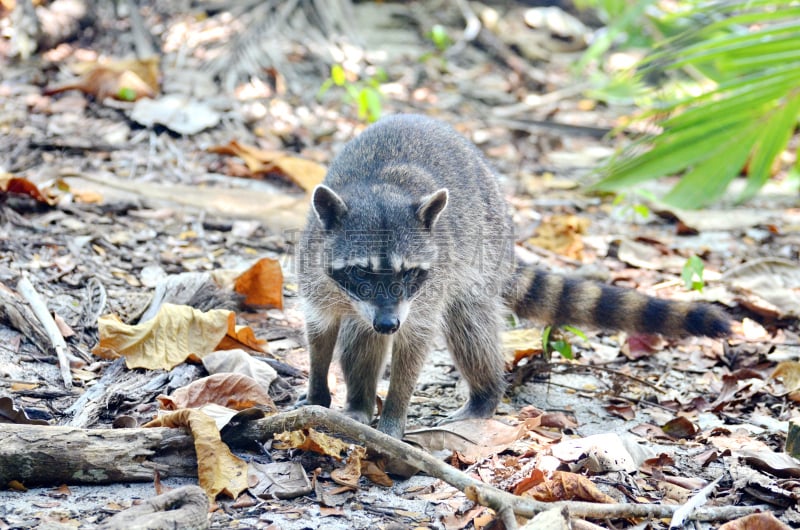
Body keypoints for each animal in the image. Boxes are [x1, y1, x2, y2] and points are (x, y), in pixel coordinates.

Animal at [296, 113, 732, 436]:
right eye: (361, 272)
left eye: (409, 274)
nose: (389, 323)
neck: (378, 190)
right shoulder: (316, 270)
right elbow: (321, 333)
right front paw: (319, 393)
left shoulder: (425, 291)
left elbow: (415, 344)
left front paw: (394, 413)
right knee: (360, 338)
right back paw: (359, 402)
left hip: (478, 257)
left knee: (469, 328)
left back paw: (484, 395)